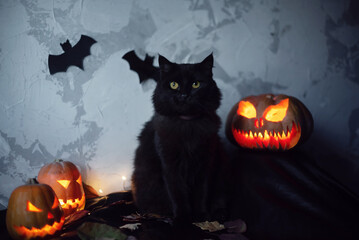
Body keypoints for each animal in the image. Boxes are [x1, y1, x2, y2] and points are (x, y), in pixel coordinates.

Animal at [131, 54, 228, 223]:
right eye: (174, 84)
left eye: (196, 84)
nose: (184, 95)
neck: (188, 125)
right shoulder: (170, 165)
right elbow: (177, 194)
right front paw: (182, 218)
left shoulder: (205, 163)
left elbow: (201, 193)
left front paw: (201, 216)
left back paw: (219, 214)